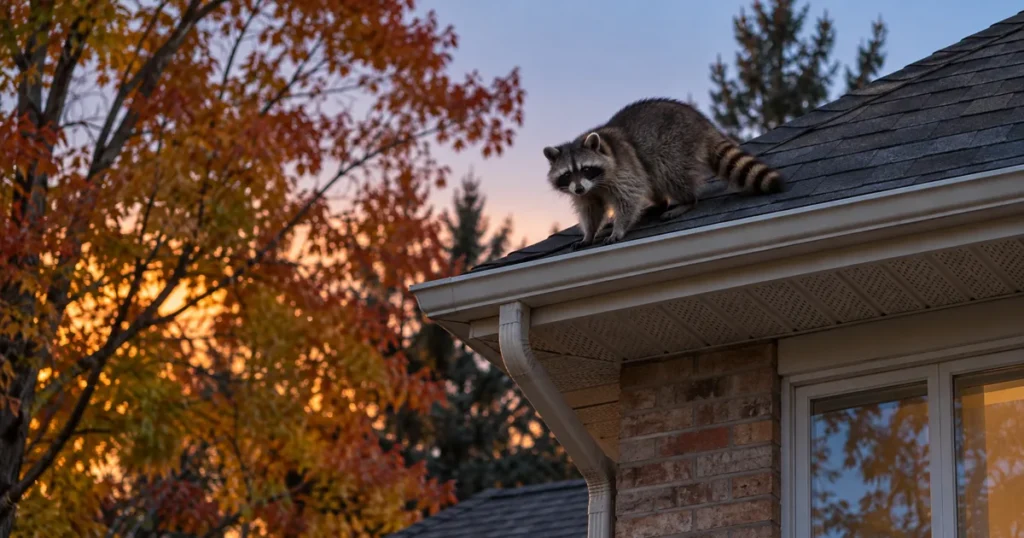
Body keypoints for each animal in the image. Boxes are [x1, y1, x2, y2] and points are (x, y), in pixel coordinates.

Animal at [543, 98, 784, 249]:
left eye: (586, 169)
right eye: (567, 174)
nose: (579, 188)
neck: (596, 183)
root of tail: (702, 122)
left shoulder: (623, 167)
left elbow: (629, 196)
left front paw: (618, 228)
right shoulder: (587, 192)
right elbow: (591, 209)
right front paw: (590, 233)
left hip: (675, 144)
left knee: (667, 171)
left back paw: (686, 201)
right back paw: (659, 203)